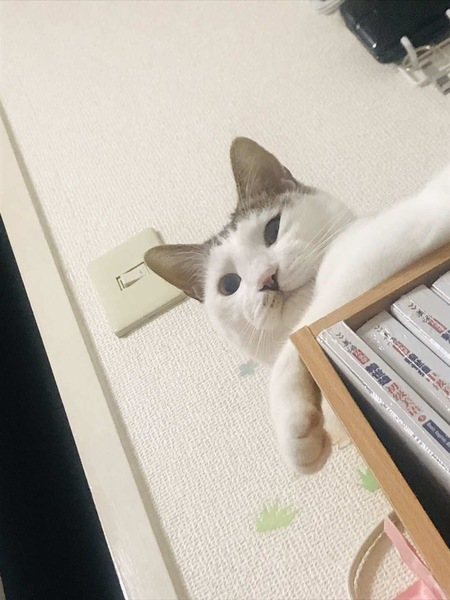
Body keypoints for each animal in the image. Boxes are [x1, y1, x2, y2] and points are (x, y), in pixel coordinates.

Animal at [145, 137, 450, 474]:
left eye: (272, 229)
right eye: (229, 285)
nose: (267, 278)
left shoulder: (380, 243)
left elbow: (300, 332)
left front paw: (293, 430)